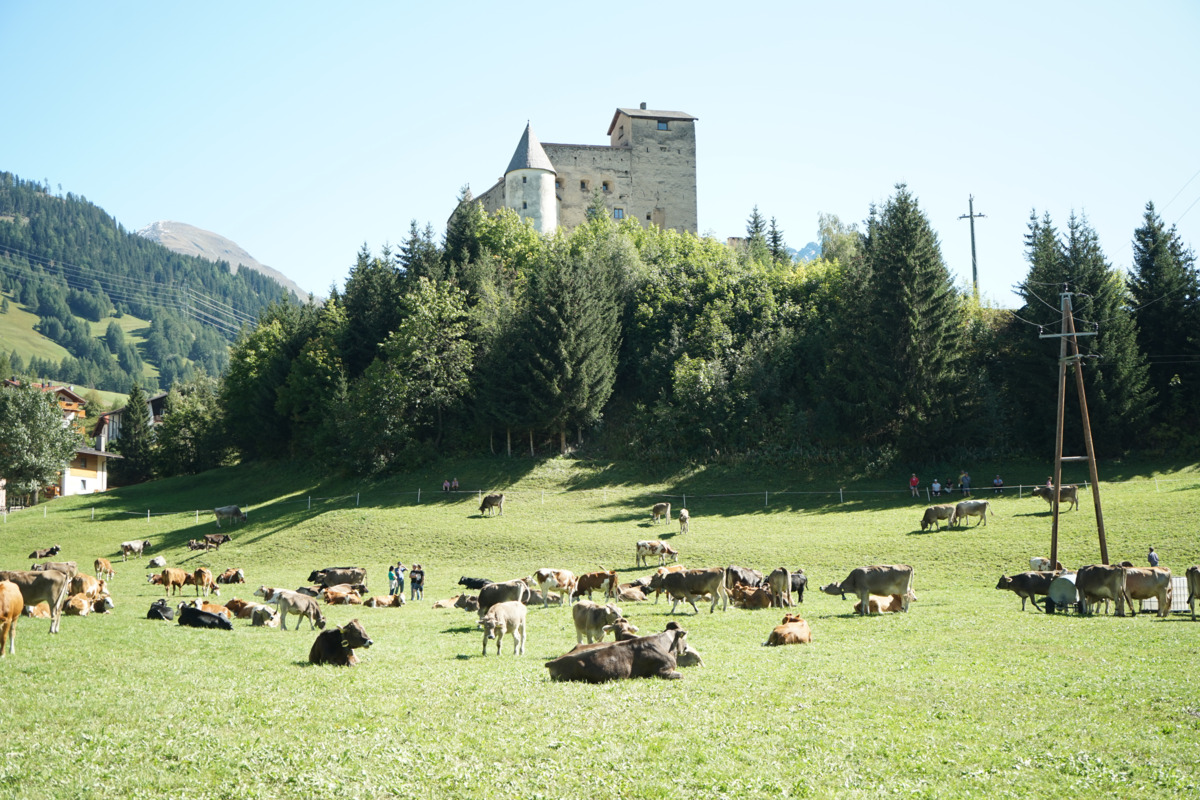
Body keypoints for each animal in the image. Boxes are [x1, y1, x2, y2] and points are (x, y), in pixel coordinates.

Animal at [547, 623, 691, 686]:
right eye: (684, 637)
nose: (686, 647)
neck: (664, 643)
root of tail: (552, 662)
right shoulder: (662, 671)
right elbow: (681, 675)